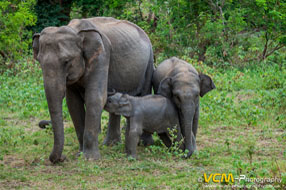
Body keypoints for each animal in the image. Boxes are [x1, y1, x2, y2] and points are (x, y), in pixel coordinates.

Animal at [32, 17, 154, 163]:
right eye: (39, 62)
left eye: (66, 61)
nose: (62, 158)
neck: (76, 30)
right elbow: (73, 104)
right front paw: (80, 154)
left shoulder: (101, 57)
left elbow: (95, 97)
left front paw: (89, 158)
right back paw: (111, 144)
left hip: (148, 63)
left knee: (144, 94)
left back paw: (144, 143)